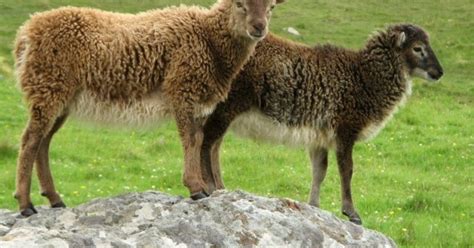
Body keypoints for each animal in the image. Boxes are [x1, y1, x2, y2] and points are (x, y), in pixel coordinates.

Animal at [12, 0, 286, 217]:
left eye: (272, 7)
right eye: (239, 4)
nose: (259, 28)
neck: (209, 38)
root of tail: (25, 34)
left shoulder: (200, 103)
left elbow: (198, 141)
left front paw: (203, 188)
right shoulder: (182, 90)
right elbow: (191, 140)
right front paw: (196, 188)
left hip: (60, 98)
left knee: (43, 141)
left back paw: (54, 199)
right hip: (48, 87)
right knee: (30, 141)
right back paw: (26, 205)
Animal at [201, 23, 444, 225]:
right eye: (418, 48)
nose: (439, 73)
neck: (363, 76)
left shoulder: (319, 136)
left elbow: (320, 170)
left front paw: (314, 205)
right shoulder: (345, 130)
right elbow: (347, 169)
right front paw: (351, 213)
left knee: (213, 145)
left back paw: (219, 187)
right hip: (226, 107)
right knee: (207, 143)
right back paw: (209, 187)